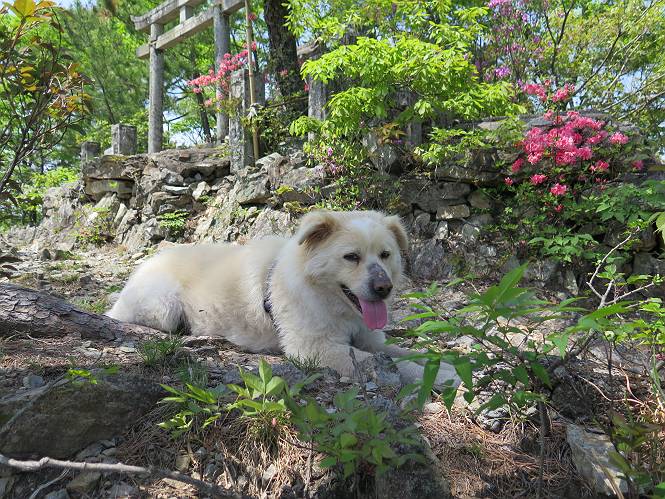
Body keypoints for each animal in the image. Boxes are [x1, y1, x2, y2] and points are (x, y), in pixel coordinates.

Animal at [107, 210, 459, 387]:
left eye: (385, 255)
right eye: (351, 257)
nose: (383, 287)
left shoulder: (370, 339)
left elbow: (409, 353)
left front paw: (446, 366)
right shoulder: (313, 348)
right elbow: (395, 364)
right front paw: (445, 375)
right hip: (164, 307)